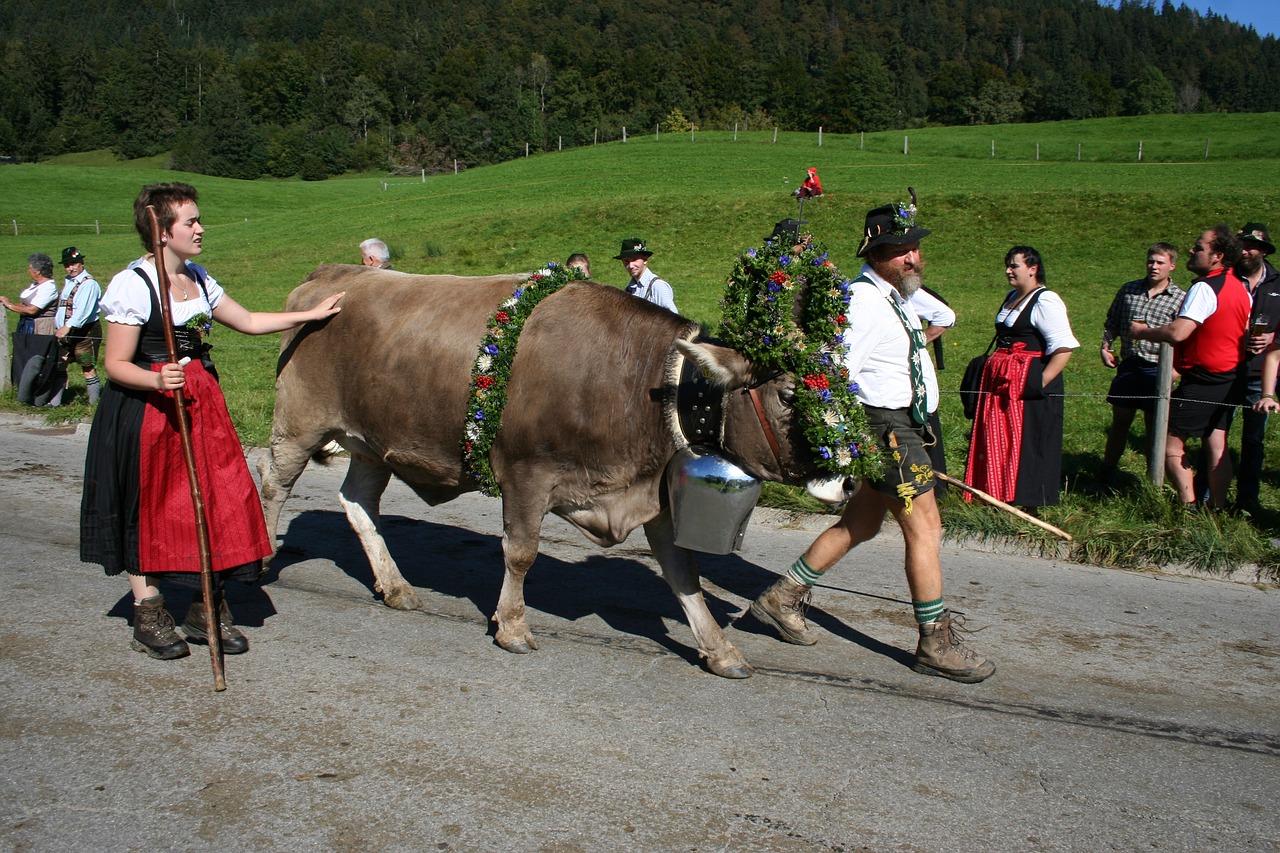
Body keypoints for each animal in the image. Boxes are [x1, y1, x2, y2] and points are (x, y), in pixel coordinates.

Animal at [259, 262, 819, 676]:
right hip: (299, 422)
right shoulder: (525, 473)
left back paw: (395, 586)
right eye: (791, 395)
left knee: (358, 502)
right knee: (274, 485)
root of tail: (333, 273)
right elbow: (521, 552)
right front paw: (512, 626)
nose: (840, 468)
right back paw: (263, 559)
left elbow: (685, 574)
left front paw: (720, 649)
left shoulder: (654, 495)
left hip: (373, 443)